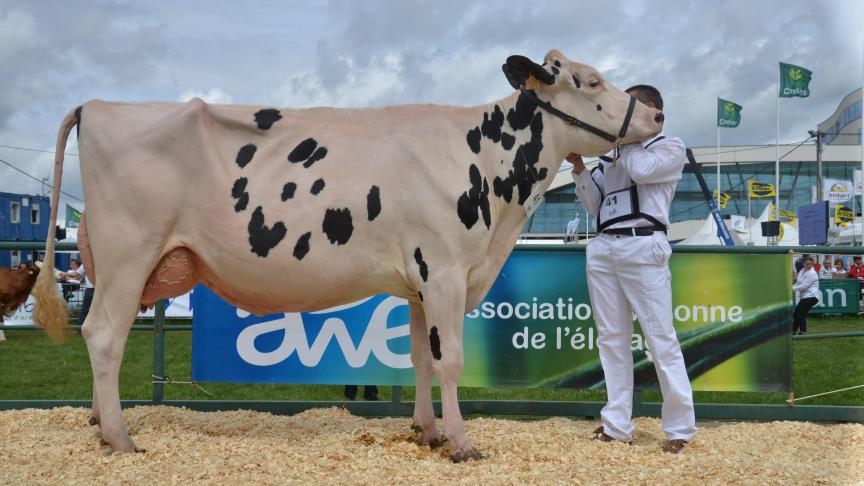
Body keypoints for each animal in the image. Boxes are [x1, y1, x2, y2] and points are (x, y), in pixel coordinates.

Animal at [33, 49, 663, 461]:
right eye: (589, 80)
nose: (657, 115)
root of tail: (96, 106)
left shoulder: (421, 283)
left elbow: (421, 359)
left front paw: (427, 432)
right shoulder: (446, 271)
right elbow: (451, 360)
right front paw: (461, 443)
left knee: (100, 335)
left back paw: (98, 421)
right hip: (127, 253)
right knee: (104, 334)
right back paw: (119, 438)